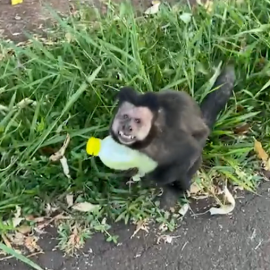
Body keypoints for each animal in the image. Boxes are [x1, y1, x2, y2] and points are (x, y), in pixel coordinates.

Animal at [108, 65, 235, 209]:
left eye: (137, 121)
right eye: (125, 116)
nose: (127, 127)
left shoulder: (168, 137)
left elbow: (191, 151)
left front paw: (154, 180)